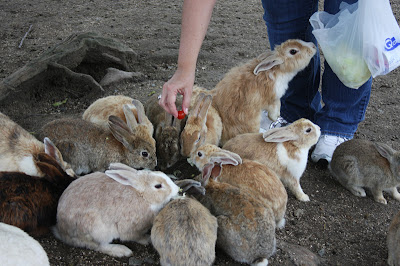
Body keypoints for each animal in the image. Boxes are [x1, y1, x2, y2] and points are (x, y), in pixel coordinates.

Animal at [52, 162, 180, 258]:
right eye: (158, 186)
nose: (177, 189)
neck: (143, 196)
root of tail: (62, 230)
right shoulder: (131, 228)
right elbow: (134, 236)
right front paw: (146, 239)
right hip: (98, 230)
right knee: (98, 246)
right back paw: (121, 250)